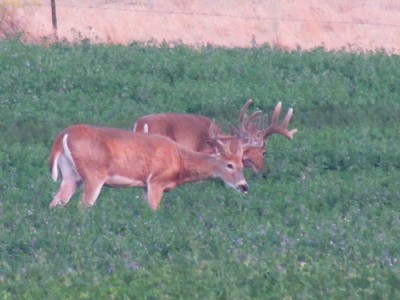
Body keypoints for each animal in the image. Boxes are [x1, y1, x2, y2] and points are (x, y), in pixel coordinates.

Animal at [48, 123, 248, 210]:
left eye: (242, 164)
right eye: (230, 165)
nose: (244, 186)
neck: (180, 160)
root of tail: (63, 135)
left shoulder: (145, 186)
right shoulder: (156, 182)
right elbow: (154, 210)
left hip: (71, 175)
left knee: (56, 203)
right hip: (94, 174)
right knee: (83, 205)